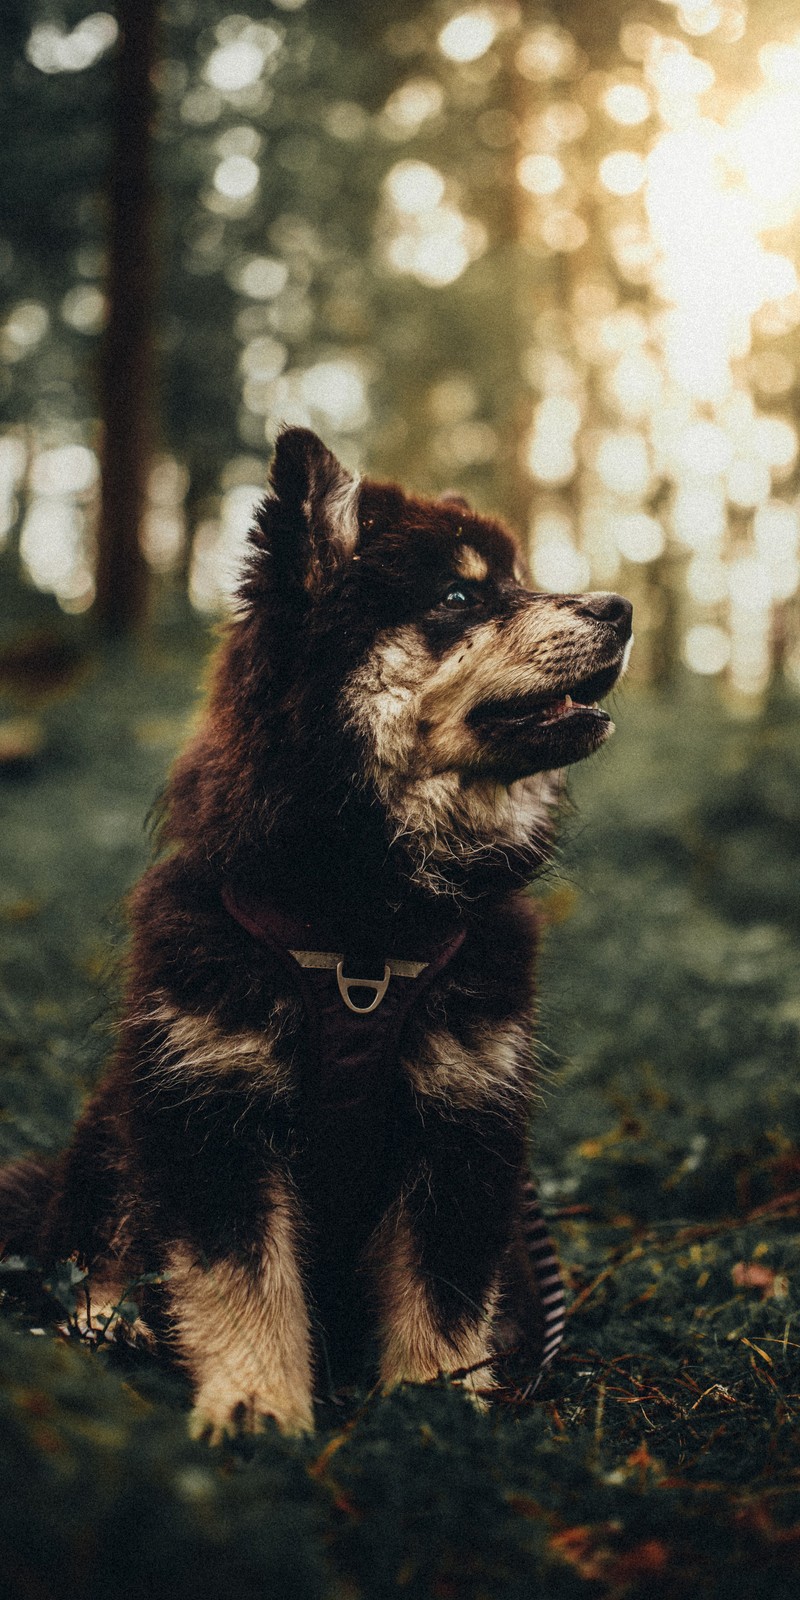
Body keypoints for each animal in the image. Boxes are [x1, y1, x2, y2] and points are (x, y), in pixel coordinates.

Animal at [0, 425, 633, 1440]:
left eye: (520, 577)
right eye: (460, 597)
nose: (620, 608)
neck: (366, 920)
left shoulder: (466, 1120)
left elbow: (444, 1294)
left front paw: (435, 1410)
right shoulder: (211, 1102)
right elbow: (242, 1279)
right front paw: (256, 1404)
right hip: (117, 1120)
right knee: (90, 1248)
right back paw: (113, 1320)